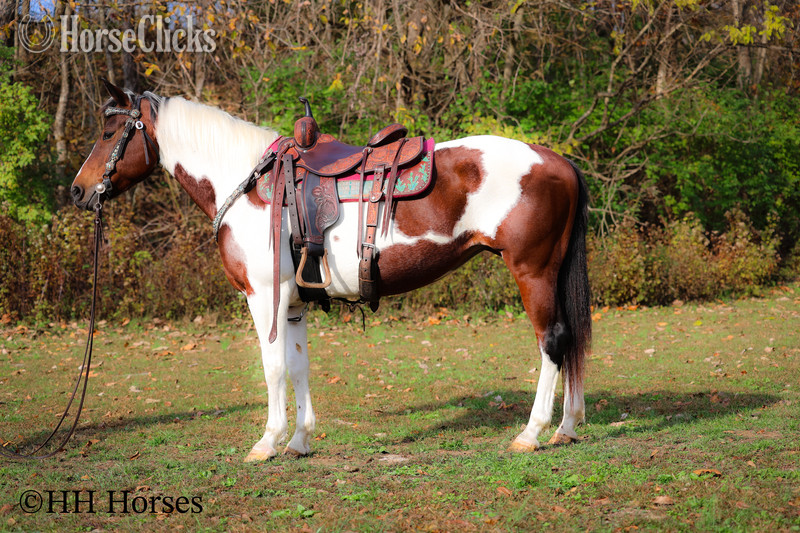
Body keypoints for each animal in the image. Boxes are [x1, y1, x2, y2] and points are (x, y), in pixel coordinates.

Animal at [70, 79, 591, 461]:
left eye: (109, 133)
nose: (78, 191)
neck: (248, 184)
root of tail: (557, 161)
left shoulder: (265, 297)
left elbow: (273, 367)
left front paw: (267, 442)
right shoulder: (294, 302)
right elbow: (299, 366)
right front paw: (300, 441)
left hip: (532, 272)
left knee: (553, 341)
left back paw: (532, 432)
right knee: (570, 343)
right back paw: (566, 428)